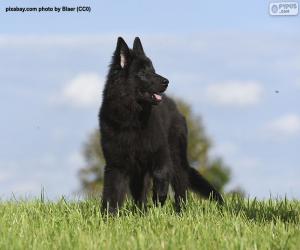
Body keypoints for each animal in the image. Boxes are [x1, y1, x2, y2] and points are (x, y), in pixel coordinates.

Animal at [98, 37, 223, 213]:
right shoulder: (116, 164)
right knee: (140, 194)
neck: (132, 119)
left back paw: (179, 211)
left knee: (180, 188)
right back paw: (142, 212)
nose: (166, 82)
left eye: (153, 70)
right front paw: (109, 215)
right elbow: (112, 193)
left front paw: (159, 197)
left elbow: (161, 174)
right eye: (142, 73)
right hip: (139, 171)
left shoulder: (160, 152)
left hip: (176, 158)